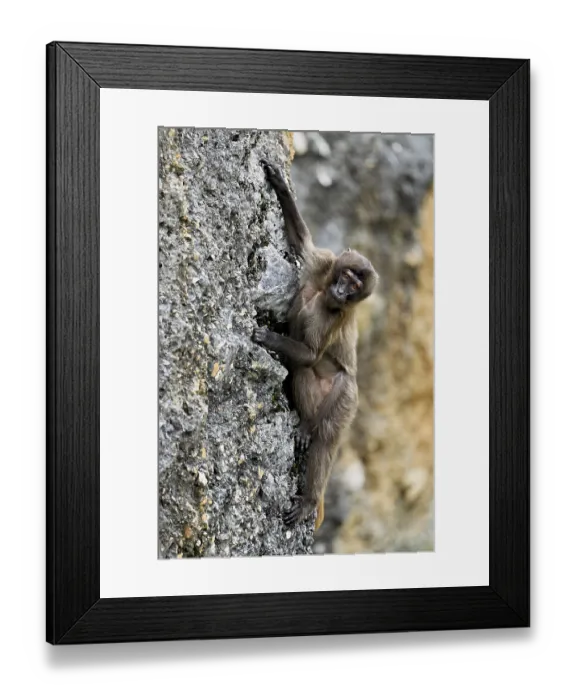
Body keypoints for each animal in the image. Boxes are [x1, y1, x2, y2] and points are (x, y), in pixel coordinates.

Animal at [254, 159, 378, 531]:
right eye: (347, 276)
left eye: (355, 287)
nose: (341, 291)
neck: (325, 290)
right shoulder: (323, 263)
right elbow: (303, 244)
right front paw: (280, 184)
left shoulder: (331, 316)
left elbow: (310, 354)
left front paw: (268, 338)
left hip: (344, 399)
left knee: (323, 429)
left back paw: (310, 495)